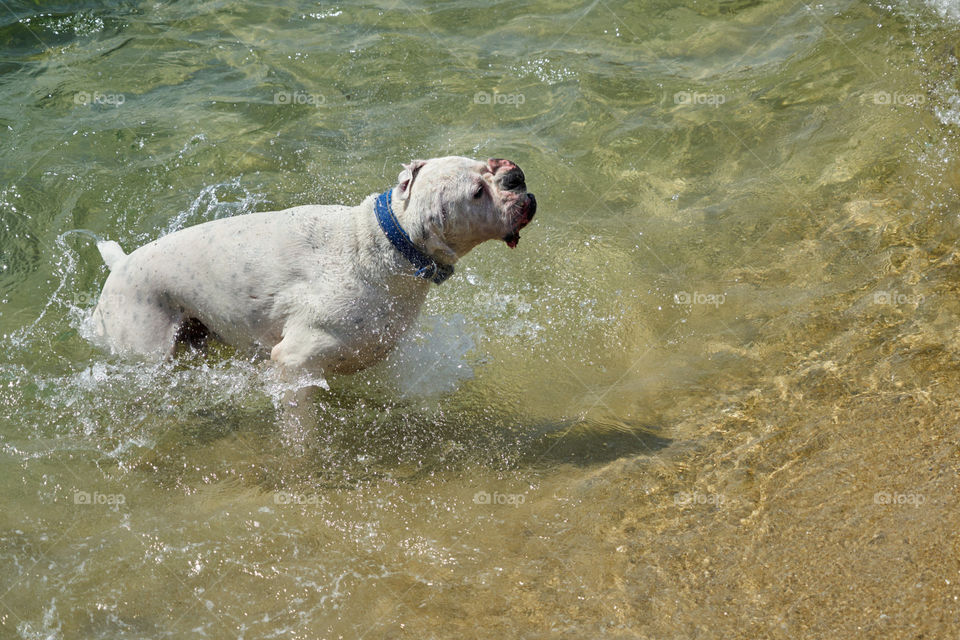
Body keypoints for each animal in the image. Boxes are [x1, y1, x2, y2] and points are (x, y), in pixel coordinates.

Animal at [89, 156, 536, 380]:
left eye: (484, 161)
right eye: (477, 193)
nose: (514, 175)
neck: (385, 247)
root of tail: (120, 263)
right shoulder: (294, 360)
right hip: (144, 344)